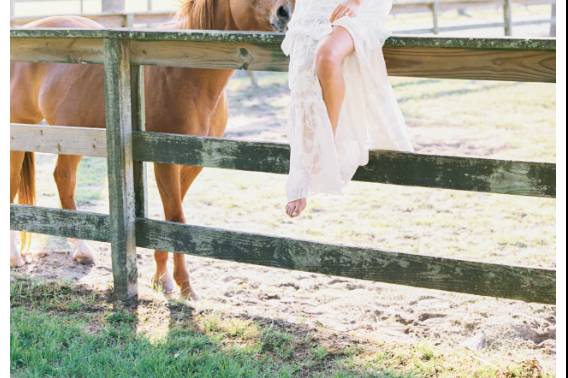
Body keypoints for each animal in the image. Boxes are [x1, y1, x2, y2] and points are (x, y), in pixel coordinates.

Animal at [10, 0, 292, 300]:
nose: (285, 12)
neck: (186, 73)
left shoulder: (192, 162)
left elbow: (170, 215)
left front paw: (161, 278)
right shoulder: (165, 161)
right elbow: (177, 218)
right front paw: (183, 286)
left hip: (74, 137)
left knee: (63, 179)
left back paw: (82, 251)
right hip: (20, 133)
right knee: (14, 185)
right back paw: (15, 257)